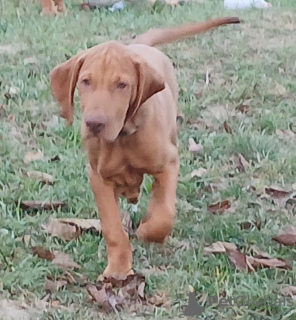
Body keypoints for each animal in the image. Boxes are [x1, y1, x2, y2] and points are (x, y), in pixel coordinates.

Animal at [50, 16, 240, 278]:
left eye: (122, 85)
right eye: (85, 82)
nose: (94, 124)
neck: (123, 136)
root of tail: (139, 46)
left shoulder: (169, 163)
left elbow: (164, 214)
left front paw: (147, 231)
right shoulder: (98, 177)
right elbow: (112, 228)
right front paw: (118, 269)